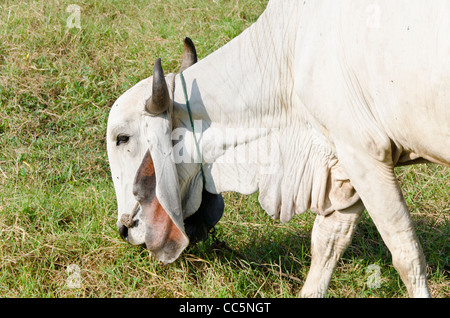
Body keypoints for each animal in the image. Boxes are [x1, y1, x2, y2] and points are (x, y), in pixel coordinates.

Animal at [107, 0, 448, 298]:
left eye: (122, 138)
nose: (124, 228)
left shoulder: (366, 156)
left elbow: (406, 255)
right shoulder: (343, 163)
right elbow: (327, 244)